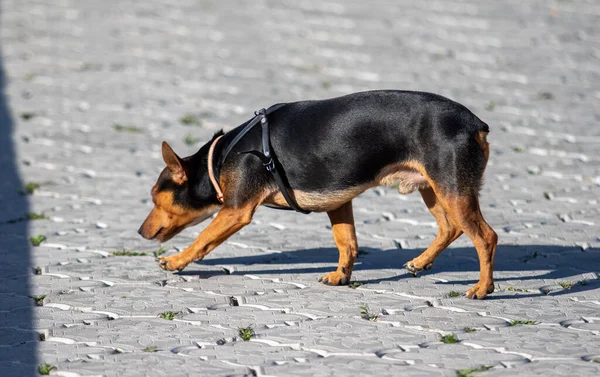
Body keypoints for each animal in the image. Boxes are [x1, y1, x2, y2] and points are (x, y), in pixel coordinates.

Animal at [138, 89, 500, 298]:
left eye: (155, 196)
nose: (140, 231)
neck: (220, 158)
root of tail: (475, 124)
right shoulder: (339, 201)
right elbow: (346, 242)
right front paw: (341, 276)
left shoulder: (236, 211)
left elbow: (203, 240)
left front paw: (175, 261)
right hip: (434, 189)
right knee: (450, 228)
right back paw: (421, 262)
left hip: (451, 189)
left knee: (485, 237)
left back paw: (483, 288)